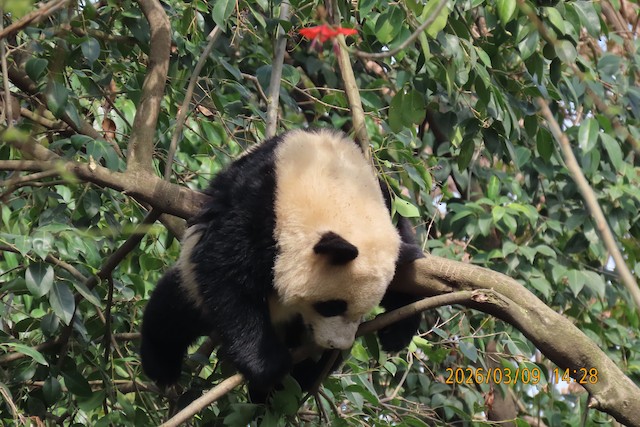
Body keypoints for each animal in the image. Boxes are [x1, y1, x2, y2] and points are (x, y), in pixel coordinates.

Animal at [140, 129, 424, 395]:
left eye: (362, 311)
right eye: (331, 306)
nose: (335, 345)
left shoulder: (386, 206)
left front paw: (396, 331)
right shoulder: (258, 203)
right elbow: (226, 271)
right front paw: (268, 366)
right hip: (192, 287)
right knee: (172, 313)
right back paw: (163, 368)